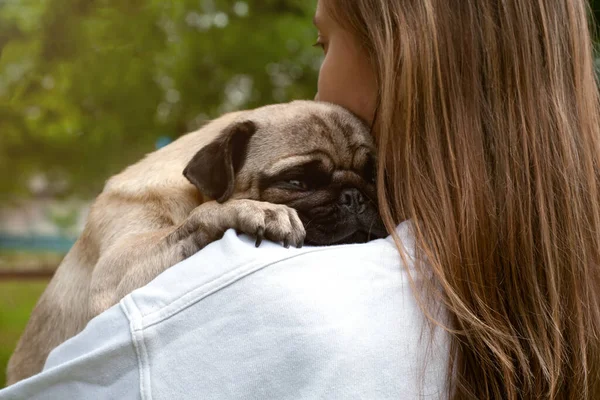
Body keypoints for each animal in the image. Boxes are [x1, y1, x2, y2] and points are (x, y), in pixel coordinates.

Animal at [5, 99, 384, 384]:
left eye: (372, 177)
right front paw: (256, 210)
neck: (189, 193)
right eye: (297, 182)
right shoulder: (114, 272)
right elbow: (205, 213)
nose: (354, 196)